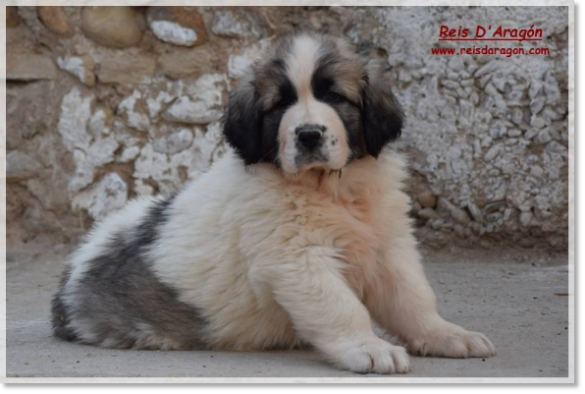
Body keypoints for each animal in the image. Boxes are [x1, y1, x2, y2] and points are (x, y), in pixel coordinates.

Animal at [52, 32, 496, 374]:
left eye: (335, 96)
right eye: (280, 104)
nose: (309, 134)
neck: (330, 190)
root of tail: (72, 275)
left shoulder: (389, 245)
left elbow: (413, 298)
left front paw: (446, 334)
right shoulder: (297, 257)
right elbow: (341, 306)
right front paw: (370, 348)